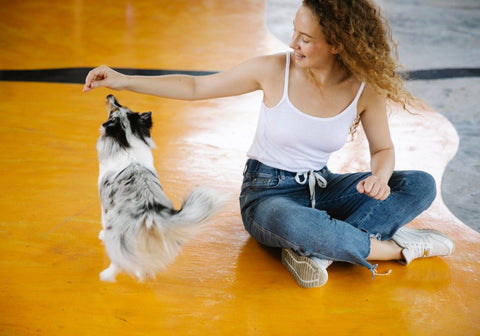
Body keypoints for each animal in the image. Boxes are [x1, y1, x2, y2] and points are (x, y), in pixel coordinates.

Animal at [96, 94, 223, 280]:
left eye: (113, 110)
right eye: (120, 105)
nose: (109, 95)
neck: (127, 142)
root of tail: (150, 210)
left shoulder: (104, 204)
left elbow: (103, 223)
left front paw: (102, 235)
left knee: (121, 259)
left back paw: (107, 274)